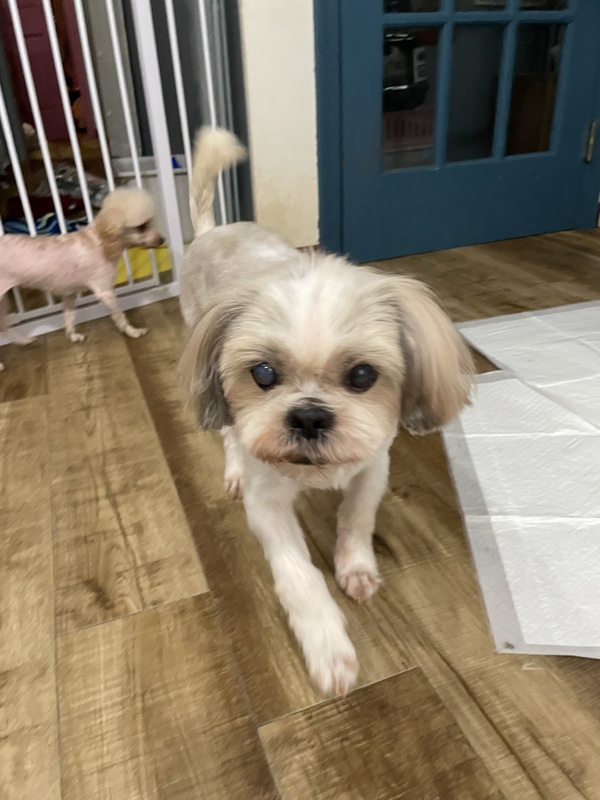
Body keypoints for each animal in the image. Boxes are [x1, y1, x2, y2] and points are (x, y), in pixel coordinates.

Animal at [0, 187, 164, 370]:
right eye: (141, 227)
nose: (162, 240)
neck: (101, 241)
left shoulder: (69, 294)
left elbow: (69, 318)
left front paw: (73, 337)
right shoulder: (105, 292)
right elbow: (120, 316)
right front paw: (133, 332)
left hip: (4, 302)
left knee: (3, 327)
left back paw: (24, 340)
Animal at [179, 127, 474, 696]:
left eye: (362, 376)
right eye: (263, 374)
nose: (310, 417)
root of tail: (213, 231)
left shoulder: (372, 468)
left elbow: (357, 519)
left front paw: (355, 567)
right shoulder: (267, 502)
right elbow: (298, 576)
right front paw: (327, 645)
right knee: (229, 434)